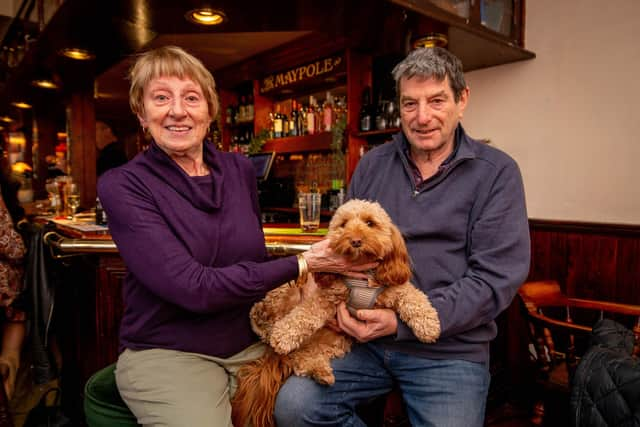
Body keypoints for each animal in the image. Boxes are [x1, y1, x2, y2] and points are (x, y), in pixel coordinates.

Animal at [230, 200, 440, 427]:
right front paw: (283, 335)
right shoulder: (326, 296)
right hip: (287, 291)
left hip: (335, 342)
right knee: (270, 314)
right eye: (344, 224)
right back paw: (266, 325)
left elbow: (416, 300)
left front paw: (429, 327)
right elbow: (303, 315)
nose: (355, 240)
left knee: (301, 359)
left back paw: (321, 373)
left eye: (370, 223)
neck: (363, 276)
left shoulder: (396, 288)